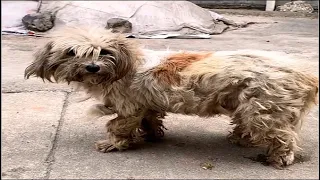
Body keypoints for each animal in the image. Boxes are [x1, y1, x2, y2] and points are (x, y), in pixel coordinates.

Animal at [24, 27, 318, 169]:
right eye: (72, 52)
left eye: (104, 51)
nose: (92, 67)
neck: (123, 67)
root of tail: (306, 74)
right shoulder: (145, 105)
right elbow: (151, 119)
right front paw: (151, 135)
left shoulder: (129, 107)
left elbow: (116, 125)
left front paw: (115, 144)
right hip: (249, 105)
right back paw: (239, 138)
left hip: (265, 111)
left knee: (283, 137)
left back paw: (279, 158)